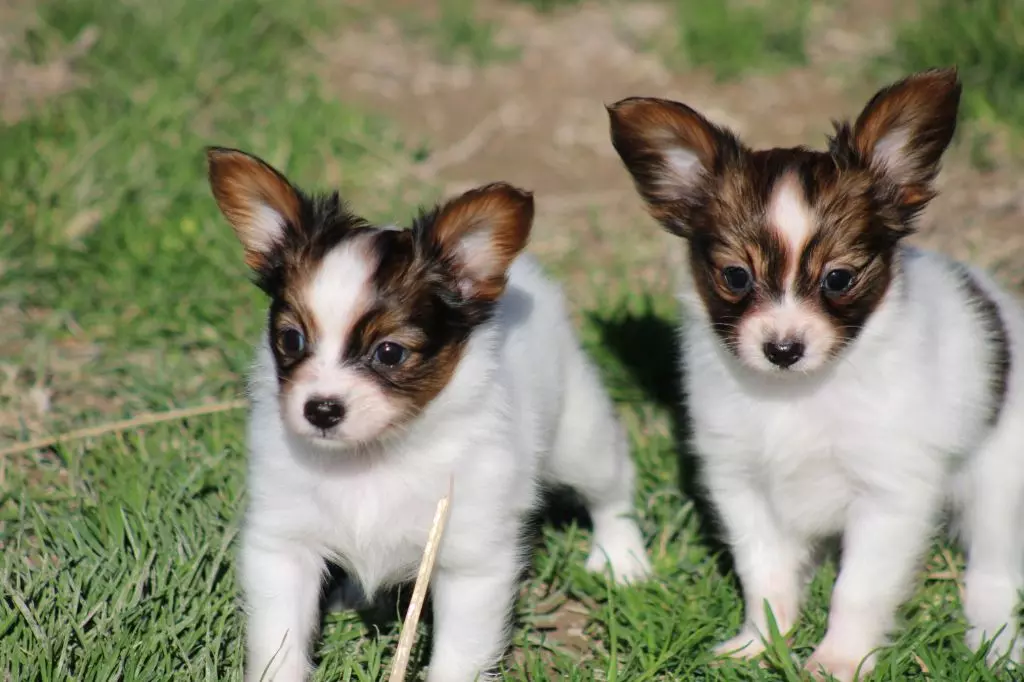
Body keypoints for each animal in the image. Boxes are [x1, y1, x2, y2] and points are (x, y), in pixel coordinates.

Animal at [207, 148, 651, 679]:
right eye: (291, 340)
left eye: (390, 352)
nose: (321, 410)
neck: (373, 459)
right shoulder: (281, 545)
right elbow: (279, 643)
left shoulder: (470, 563)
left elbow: (457, 657)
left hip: (577, 438)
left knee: (611, 484)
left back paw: (621, 557)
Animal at [606, 66, 1024, 675]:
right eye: (735, 277)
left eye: (838, 279)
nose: (783, 349)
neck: (797, 397)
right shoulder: (741, 482)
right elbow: (764, 576)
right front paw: (759, 643)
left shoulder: (888, 495)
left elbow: (857, 590)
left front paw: (838, 661)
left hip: (999, 479)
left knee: (995, 570)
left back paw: (994, 646)